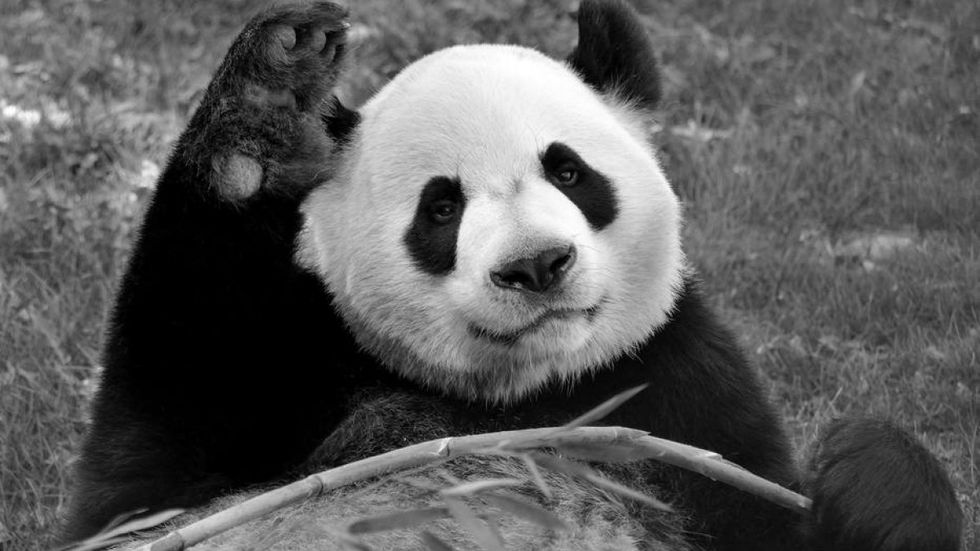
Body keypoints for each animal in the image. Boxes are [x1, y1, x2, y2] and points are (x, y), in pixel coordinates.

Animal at [60, 1, 964, 550]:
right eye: (441, 208)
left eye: (568, 171)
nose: (536, 264)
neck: (530, 397)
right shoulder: (290, 363)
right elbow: (144, 480)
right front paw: (264, 110)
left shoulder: (677, 384)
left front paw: (867, 467)